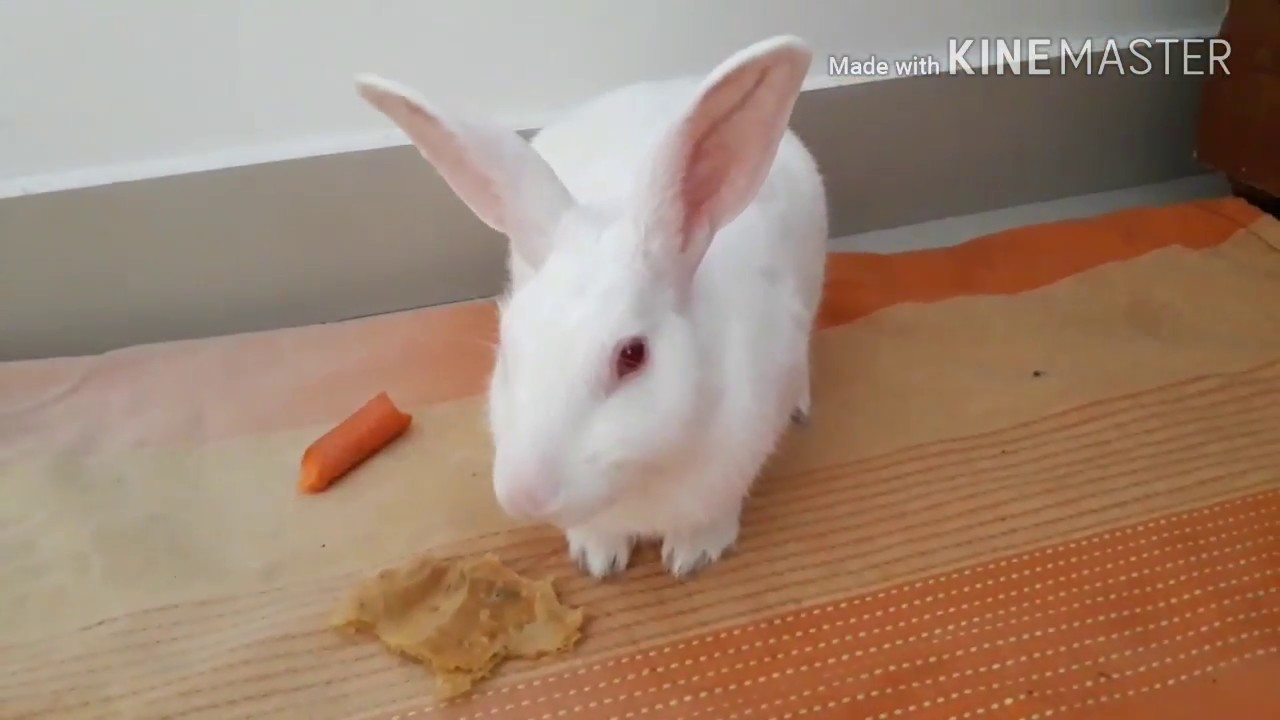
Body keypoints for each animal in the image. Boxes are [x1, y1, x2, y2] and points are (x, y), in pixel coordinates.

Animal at [355, 34, 827, 579]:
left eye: (632, 355)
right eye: (509, 350)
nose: (525, 496)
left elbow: (711, 515)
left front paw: (691, 555)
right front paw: (597, 559)